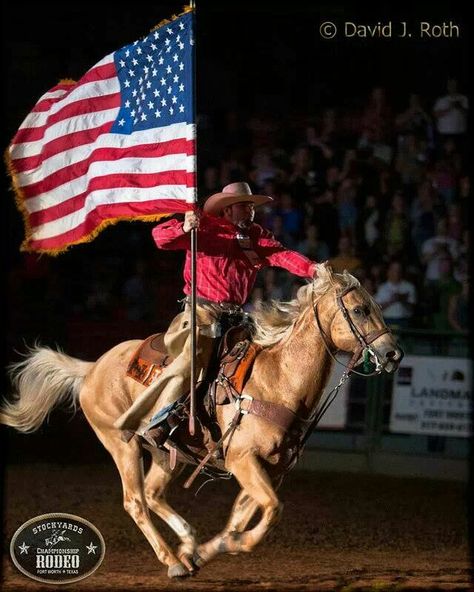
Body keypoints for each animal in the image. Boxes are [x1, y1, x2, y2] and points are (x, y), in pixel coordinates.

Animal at [0, 264, 404, 580]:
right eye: (360, 309)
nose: (393, 354)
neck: (278, 379)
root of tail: (92, 368)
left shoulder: (267, 468)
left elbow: (241, 515)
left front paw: (208, 550)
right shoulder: (243, 459)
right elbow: (271, 510)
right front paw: (231, 545)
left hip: (167, 454)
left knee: (153, 493)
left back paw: (188, 544)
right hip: (121, 444)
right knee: (135, 501)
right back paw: (173, 560)